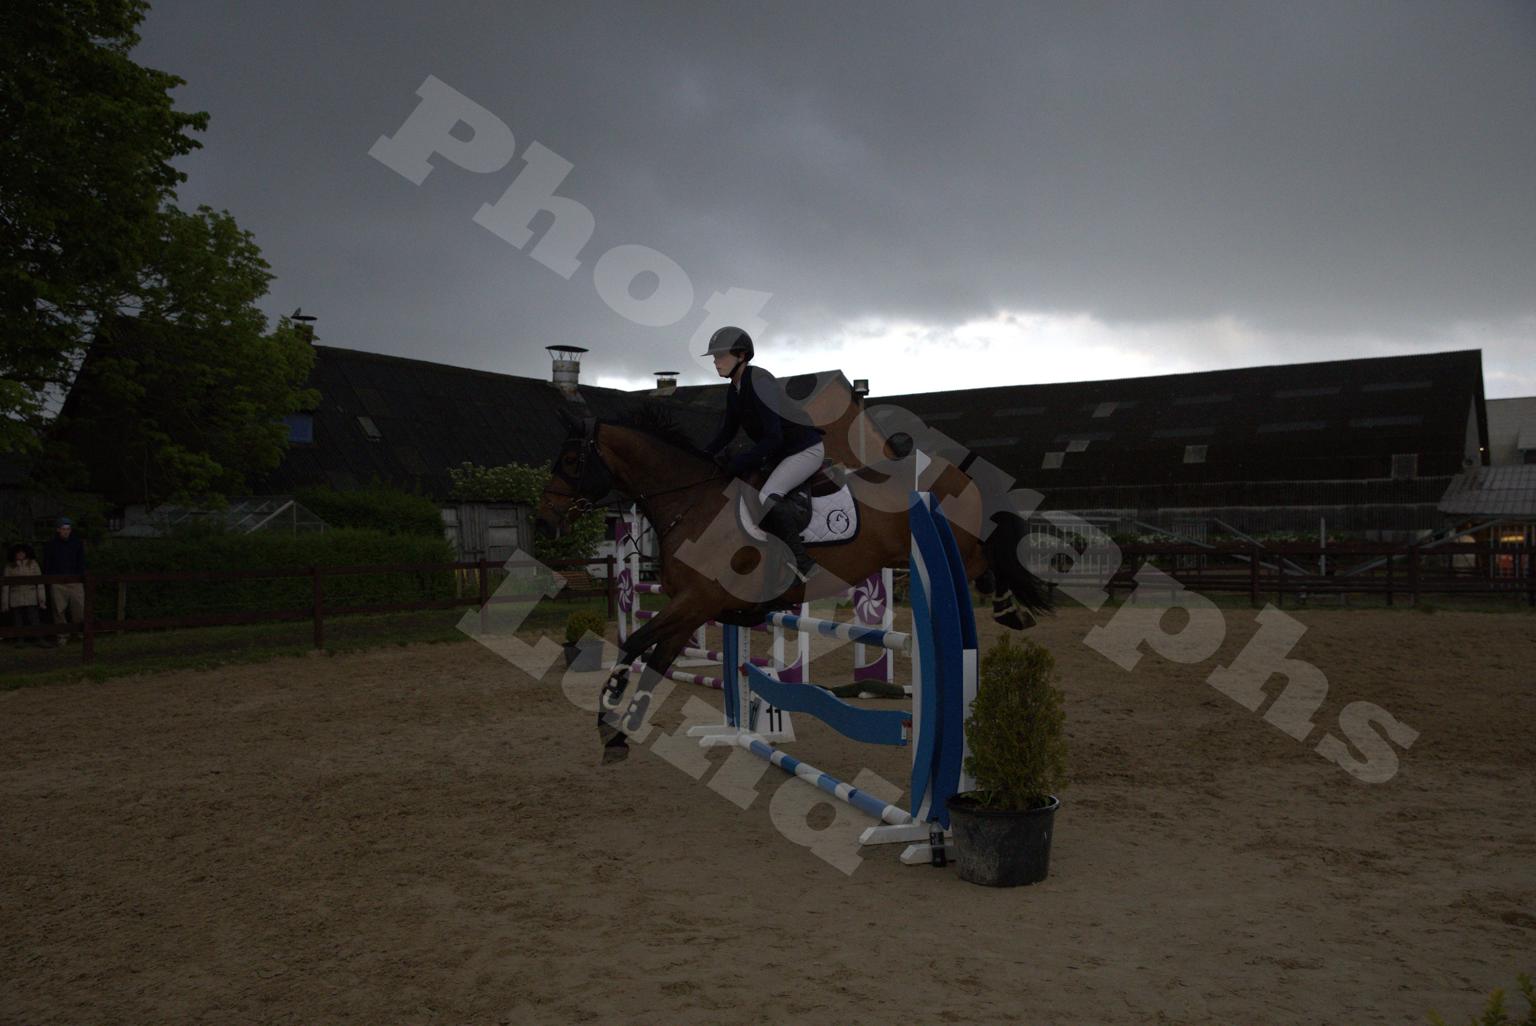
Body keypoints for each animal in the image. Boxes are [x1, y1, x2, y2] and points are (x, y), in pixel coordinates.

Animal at [535, 406, 1051, 762]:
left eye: (569, 458)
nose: (544, 522)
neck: (694, 505)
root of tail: (957, 472)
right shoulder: (691, 608)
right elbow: (650, 659)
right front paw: (617, 732)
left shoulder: (695, 602)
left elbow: (636, 644)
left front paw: (608, 715)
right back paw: (1013, 610)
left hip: (955, 545)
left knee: (987, 558)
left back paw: (1012, 608)